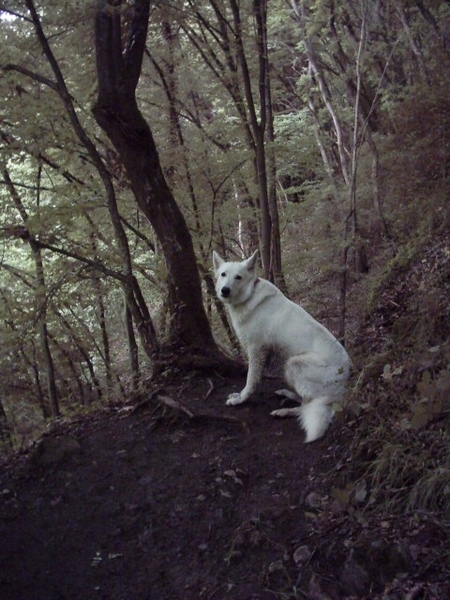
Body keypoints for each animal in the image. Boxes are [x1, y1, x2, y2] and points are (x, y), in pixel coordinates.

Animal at [214, 251, 352, 442]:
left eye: (238, 277)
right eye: (223, 274)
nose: (225, 290)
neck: (249, 295)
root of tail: (346, 381)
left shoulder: (256, 350)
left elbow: (251, 380)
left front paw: (241, 399)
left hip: (294, 364)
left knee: (308, 405)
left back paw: (285, 411)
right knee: (305, 401)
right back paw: (286, 395)